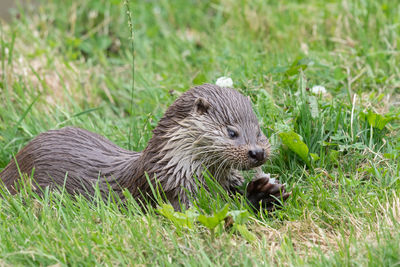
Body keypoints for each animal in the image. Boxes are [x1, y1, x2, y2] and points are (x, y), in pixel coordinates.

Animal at [0, 84, 290, 211]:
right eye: (232, 132)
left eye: (259, 130)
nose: (257, 152)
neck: (174, 167)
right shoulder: (172, 192)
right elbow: (213, 210)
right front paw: (257, 194)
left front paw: (268, 192)